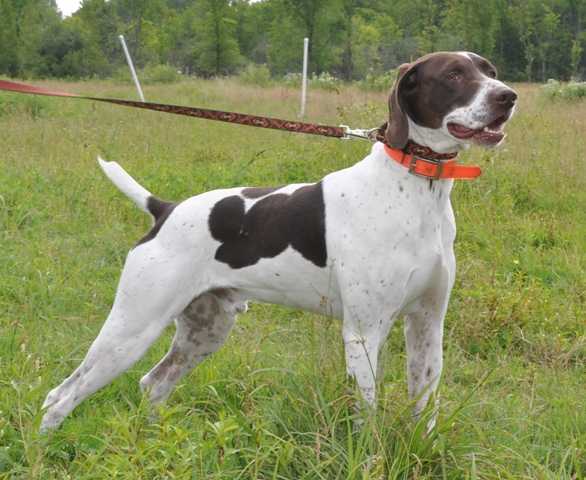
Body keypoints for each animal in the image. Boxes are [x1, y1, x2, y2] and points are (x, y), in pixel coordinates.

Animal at [41, 51, 516, 432]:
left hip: (205, 330)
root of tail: (165, 209)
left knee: (153, 384)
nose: (508, 97)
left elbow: (425, 409)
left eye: (490, 71)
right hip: (131, 329)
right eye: (454, 74)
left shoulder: (426, 326)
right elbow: (367, 418)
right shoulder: (364, 333)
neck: (416, 190)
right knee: (59, 397)